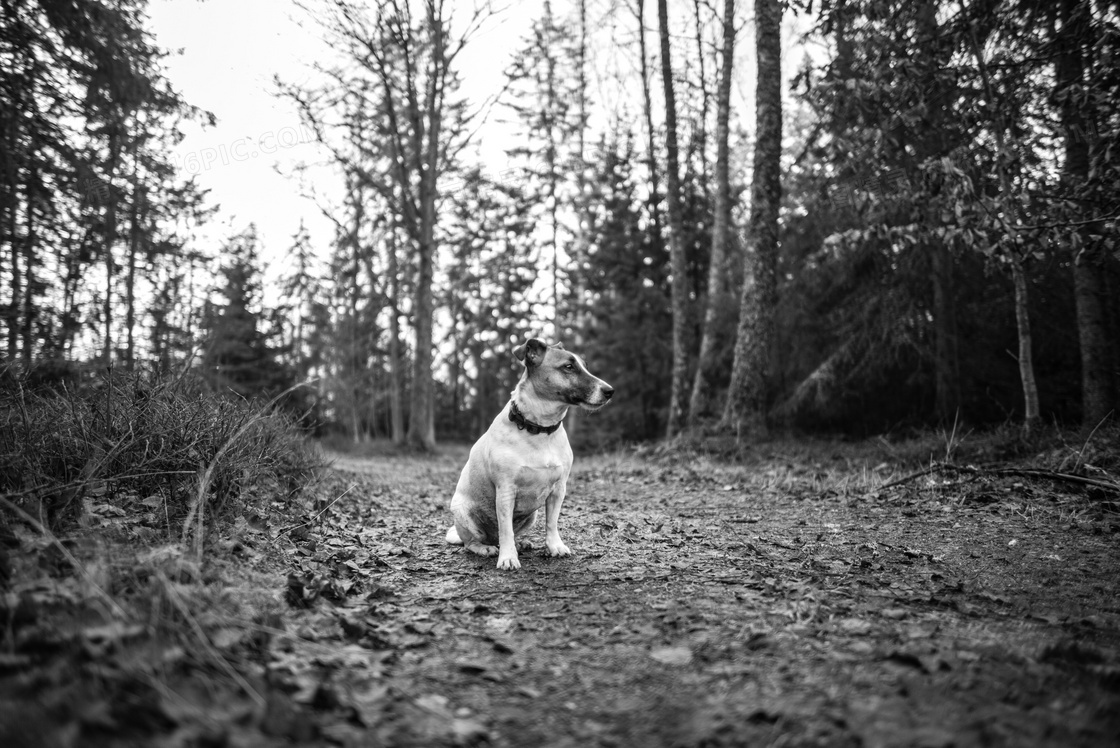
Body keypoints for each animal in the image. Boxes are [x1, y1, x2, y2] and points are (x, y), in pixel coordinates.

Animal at [441, 340, 613, 573]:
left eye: (584, 366)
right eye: (568, 367)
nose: (610, 391)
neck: (540, 429)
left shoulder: (558, 489)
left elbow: (552, 523)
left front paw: (554, 546)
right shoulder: (505, 491)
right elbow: (505, 530)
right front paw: (508, 557)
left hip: (532, 515)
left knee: (509, 534)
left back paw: (520, 543)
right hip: (463, 512)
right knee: (473, 542)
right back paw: (485, 548)